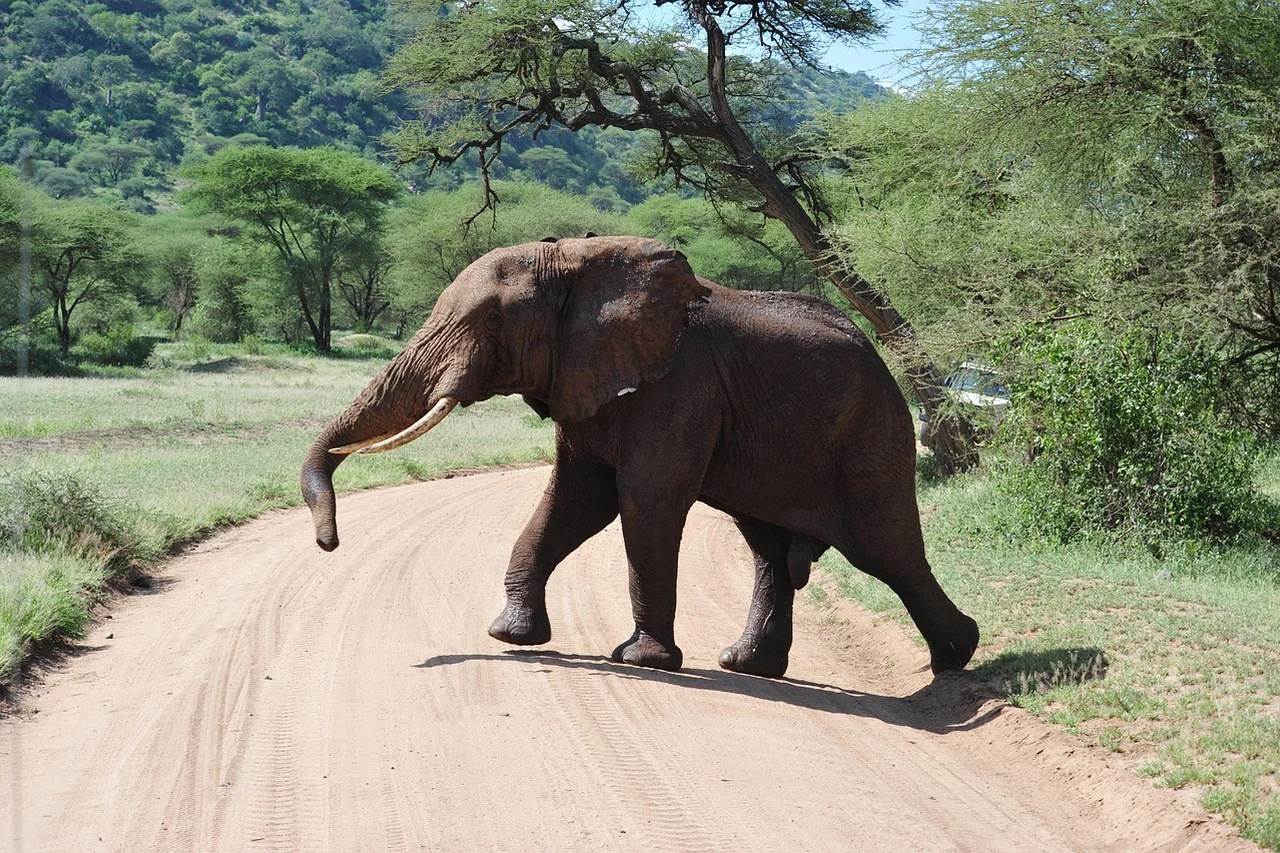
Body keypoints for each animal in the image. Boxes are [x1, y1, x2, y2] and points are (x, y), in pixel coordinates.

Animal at [301, 235, 979, 679]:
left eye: (492, 322)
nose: (328, 544)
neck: (580, 259)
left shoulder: (681, 387)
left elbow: (644, 503)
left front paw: (643, 661)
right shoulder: (587, 381)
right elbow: (575, 500)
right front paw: (512, 636)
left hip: (873, 434)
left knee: (884, 550)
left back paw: (955, 659)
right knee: (769, 549)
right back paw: (748, 667)